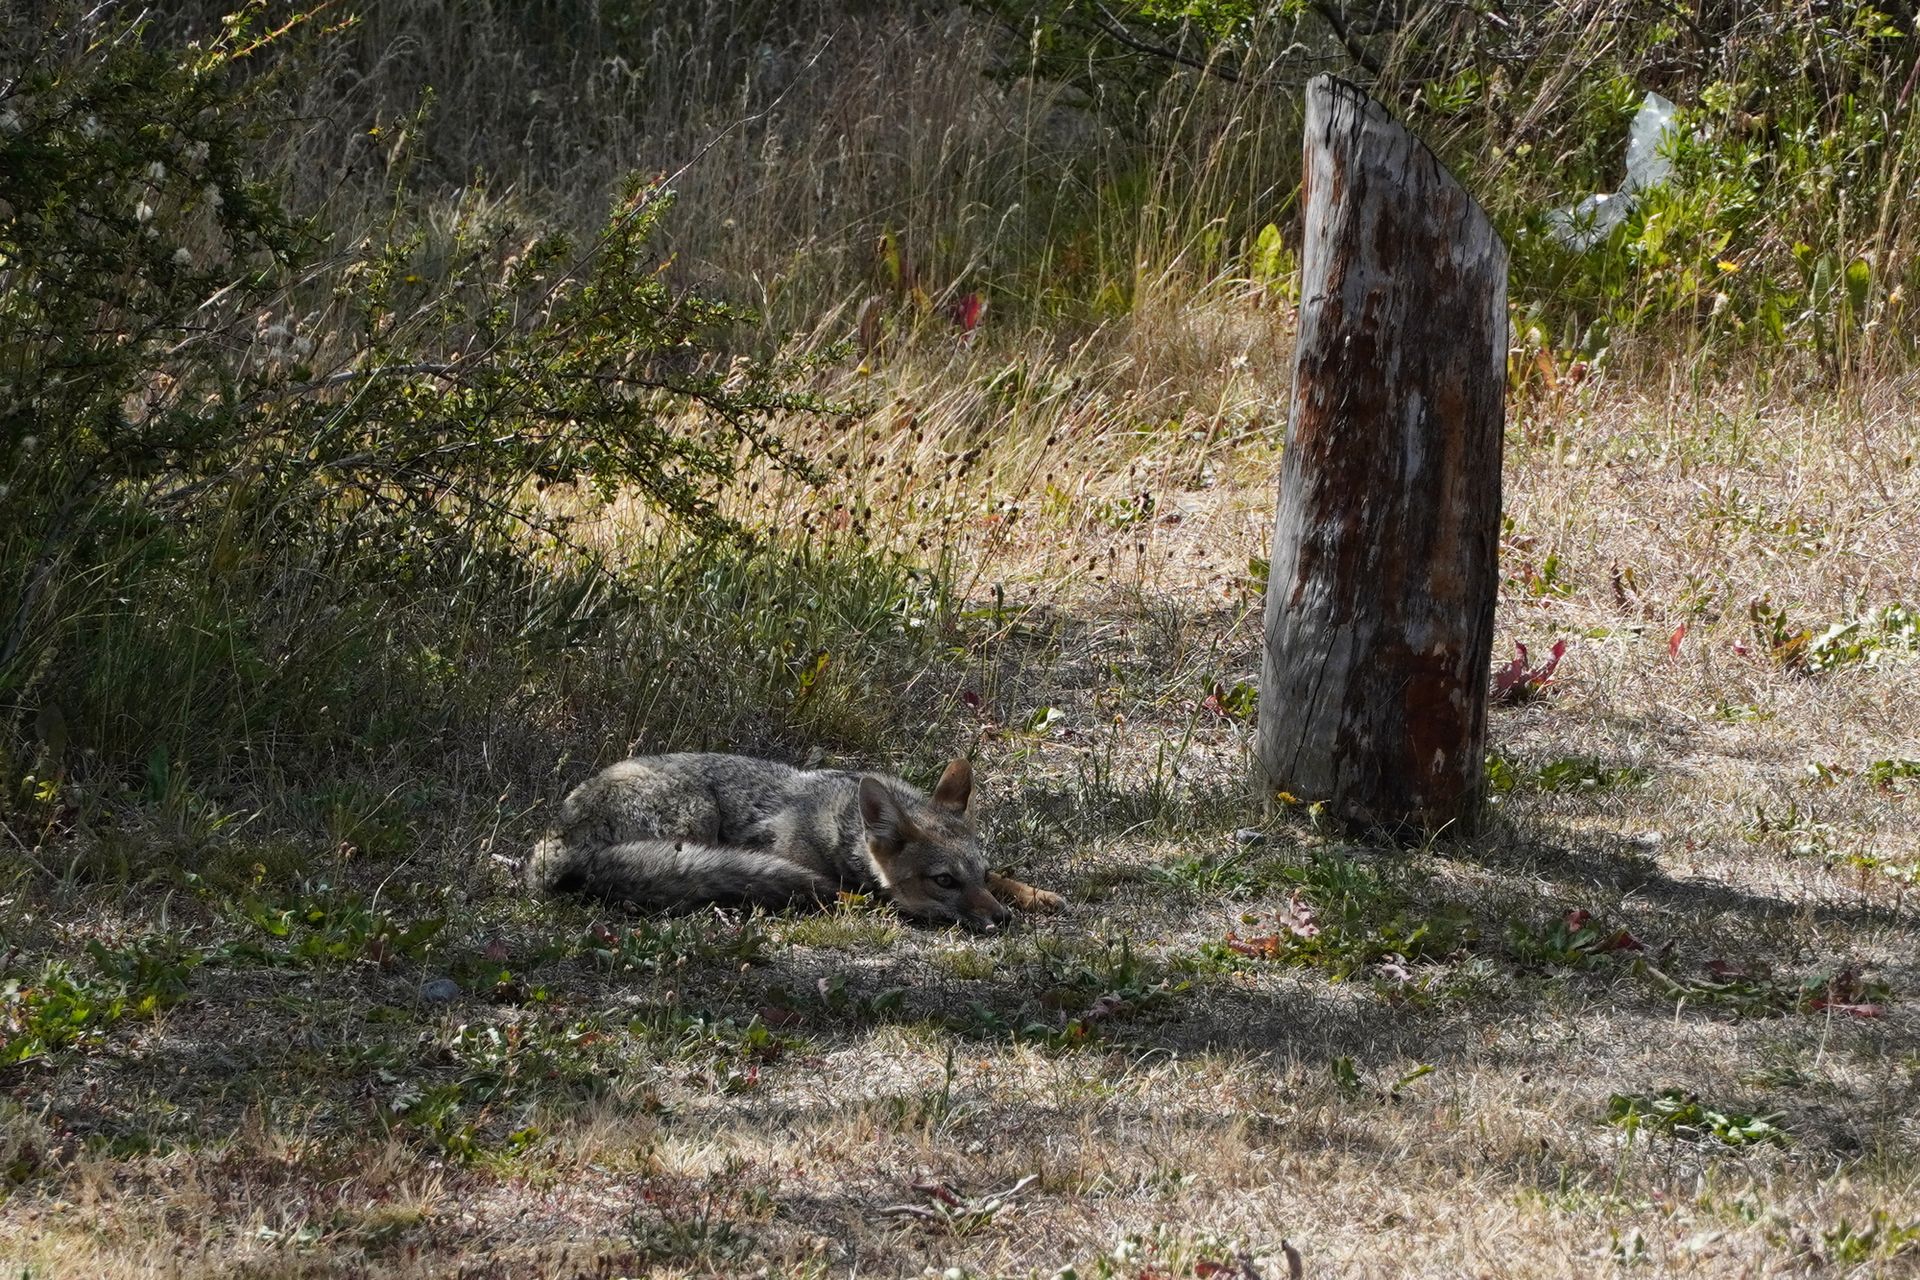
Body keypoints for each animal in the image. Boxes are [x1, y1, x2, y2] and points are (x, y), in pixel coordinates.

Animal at [527, 753, 1064, 930]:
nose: (1003, 920)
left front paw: (1035, 893)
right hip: (698, 811)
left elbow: (1009, 877)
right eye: (945, 881)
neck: (840, 829)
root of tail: (555, 841)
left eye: (978, 874)